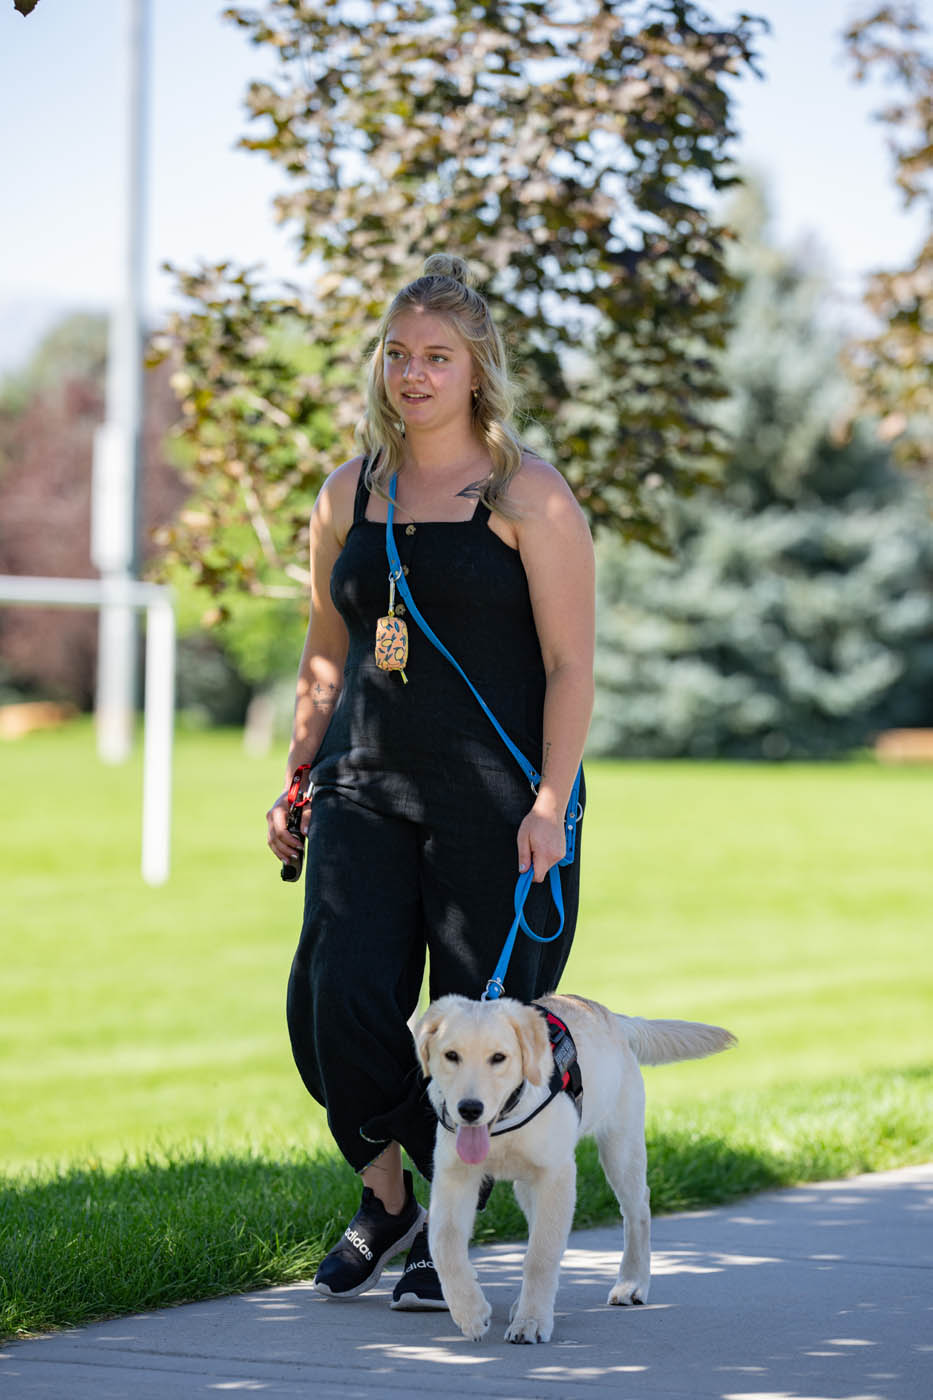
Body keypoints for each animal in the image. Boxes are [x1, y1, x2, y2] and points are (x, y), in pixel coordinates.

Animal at [414, 996, 734, 1344]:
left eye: (498, 1058)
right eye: (451, 1056)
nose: (470, 1109)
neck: (507, 1119)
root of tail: (615, 1018)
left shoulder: (557, 1176)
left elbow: (540, 1256)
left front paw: (531, 1321)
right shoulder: (454, 1176)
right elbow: (445, 1245)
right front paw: (471, 1313)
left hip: (620, 1148)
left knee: (637, 1211)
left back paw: (632, 1283)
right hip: (528, 1186)